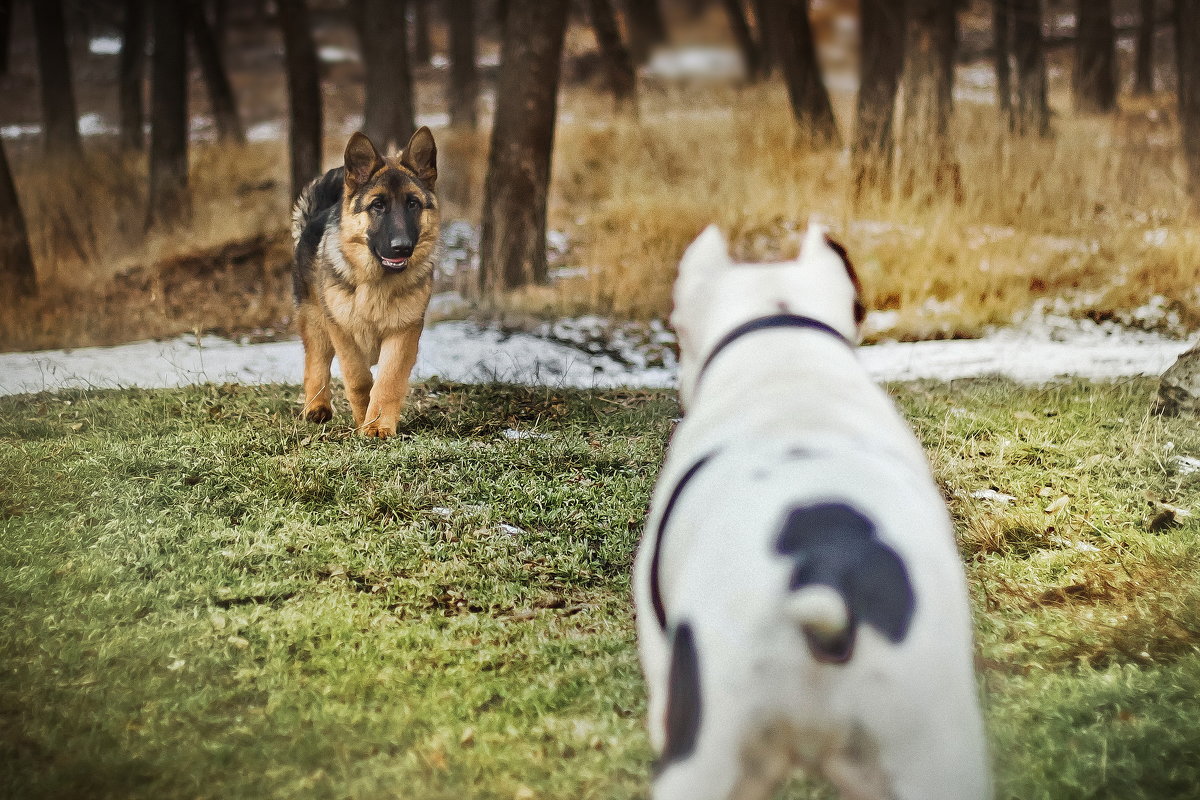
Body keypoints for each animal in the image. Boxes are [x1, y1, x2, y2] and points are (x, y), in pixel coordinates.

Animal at [290, 127, 441, 438]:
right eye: (378, 205)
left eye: (412, 203)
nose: (402, 247)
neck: (377, 283)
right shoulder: (342, 331)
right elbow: (358, 379)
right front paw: (364, 420)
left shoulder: (402, 334)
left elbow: (388, 381)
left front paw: (378, 425)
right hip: (315, 320)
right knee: (316, 362)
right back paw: (316, 406)